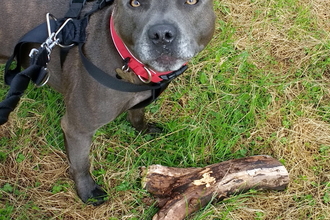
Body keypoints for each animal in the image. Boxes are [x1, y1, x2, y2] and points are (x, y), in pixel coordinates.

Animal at [0, 0, 217, 206]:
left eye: (191, 1)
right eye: (134, 3)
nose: (162, 34)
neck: (130, 63)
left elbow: (137, 115)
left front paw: (145, 130)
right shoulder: (77, 129)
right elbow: (80, 163)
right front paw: (87, 191)